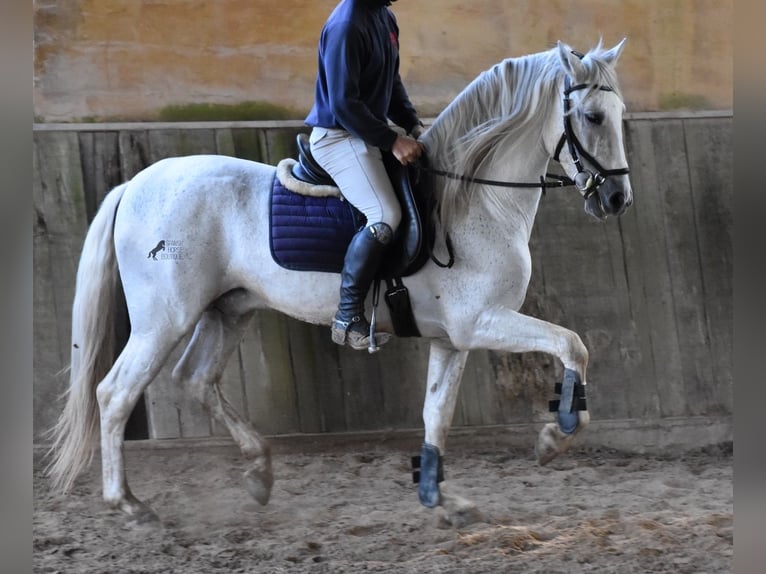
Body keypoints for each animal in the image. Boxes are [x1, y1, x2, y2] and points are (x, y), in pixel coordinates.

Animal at [49, 39, 636, 528]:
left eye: (620, 116)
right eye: (590, 116)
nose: (616, 200)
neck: (473, 199)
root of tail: (135, 183)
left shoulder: (454, 337)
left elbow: (437, 414)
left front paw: (441, 498)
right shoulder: (481, 322)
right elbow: (572, 344)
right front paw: (554, 436)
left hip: (228, 310)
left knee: (195, 379)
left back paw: (259, 473)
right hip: (163, 317)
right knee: (116, 393)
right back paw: (129, 504)